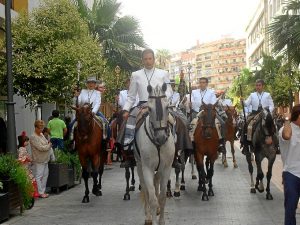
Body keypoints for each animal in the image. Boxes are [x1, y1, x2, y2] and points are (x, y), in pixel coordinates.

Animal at [134, 83, 176, 225]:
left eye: (167, 107)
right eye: (150, 109)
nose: (161, 137)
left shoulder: (166, 168)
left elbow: (162, 197)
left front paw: (161, 220)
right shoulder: (147, 168)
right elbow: (151, 197)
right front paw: (151, 217)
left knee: (156, 181)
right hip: (139, 165)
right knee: (145, 189)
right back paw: (148, 216)